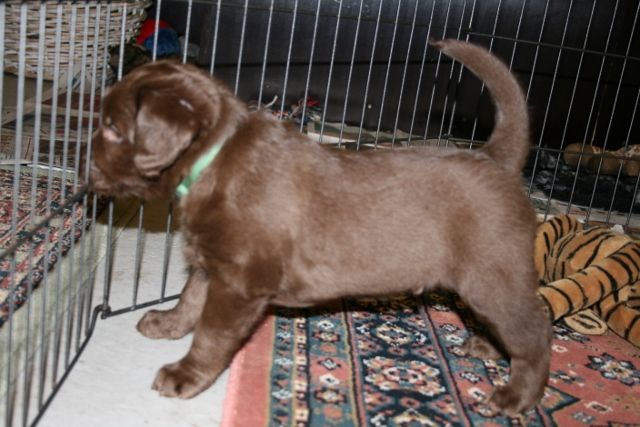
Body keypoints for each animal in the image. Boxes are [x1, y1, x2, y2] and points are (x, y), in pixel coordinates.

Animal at [89, 39, 551, 415]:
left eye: (112, 128)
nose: (85, 165)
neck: (214, 158)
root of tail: (495, 158)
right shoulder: (211, 261)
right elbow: (189, 298)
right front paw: (167, 323)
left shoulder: (240, 284)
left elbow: (211, 334)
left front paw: (185, 374)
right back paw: (489, 347)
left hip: (492, 274)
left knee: (535, 328)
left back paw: (517, 395)